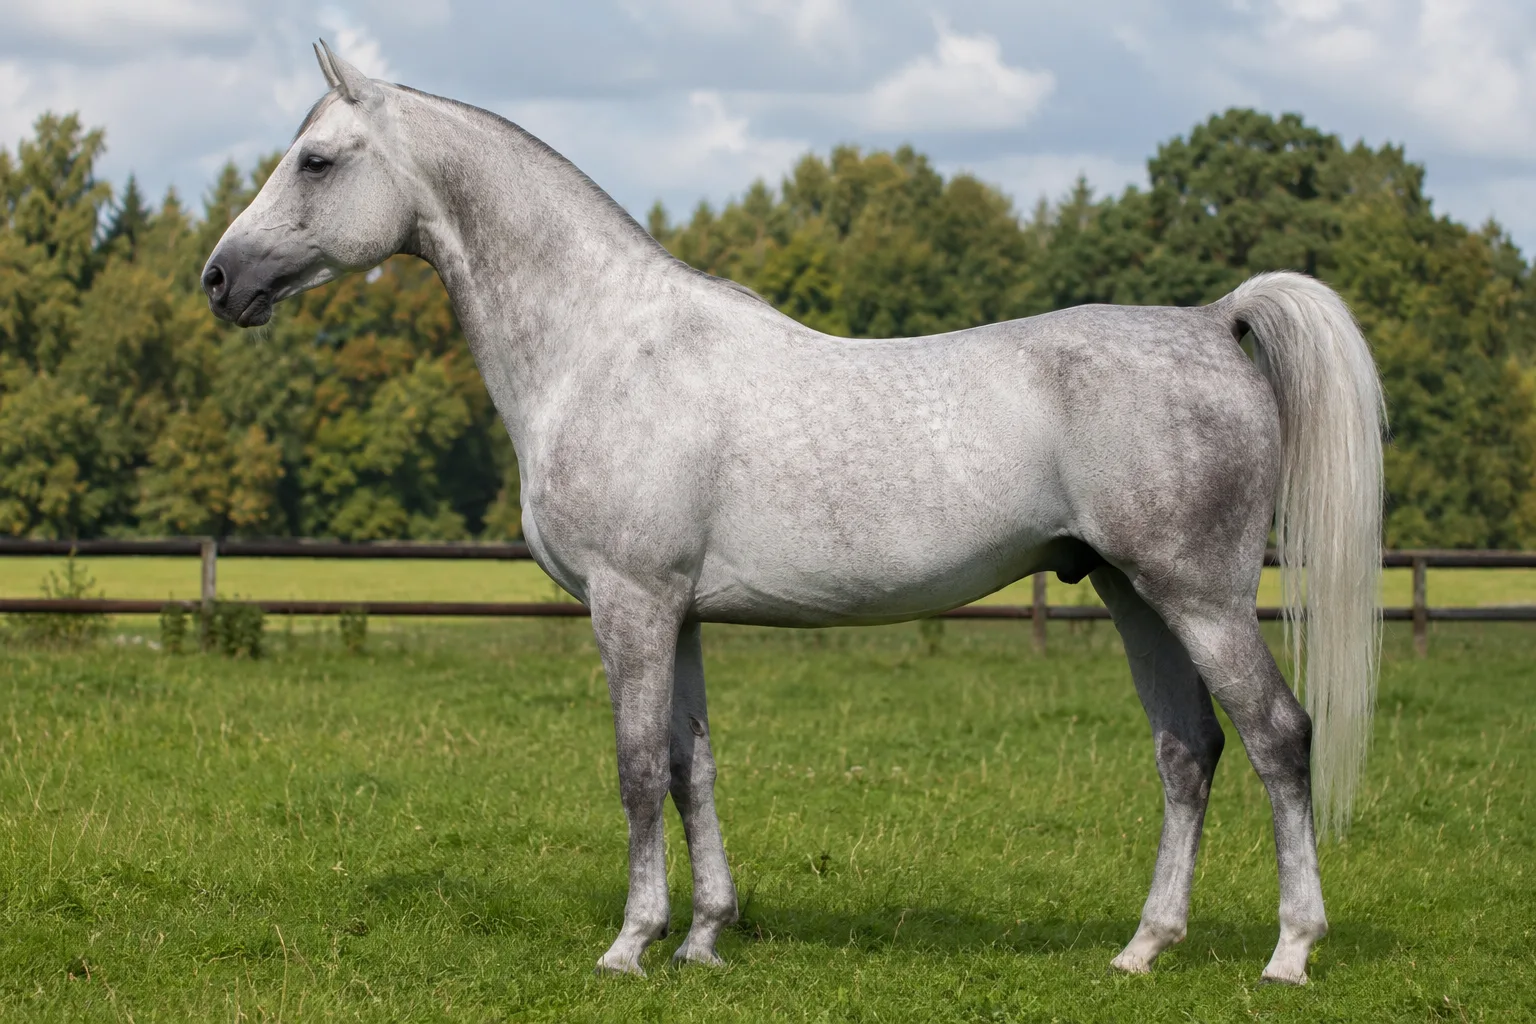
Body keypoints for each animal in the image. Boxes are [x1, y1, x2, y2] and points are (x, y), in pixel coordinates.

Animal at [202, 41, 1384, 984]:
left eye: (317, 160)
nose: (220, 279)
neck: (606, 346)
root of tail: (1213, 320)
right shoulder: (677, 614)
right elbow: (693, 768)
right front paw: (702, 937)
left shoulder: (631, 604)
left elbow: (638, 768)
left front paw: (630, 944)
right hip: (1136, 595)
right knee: (1188, 751)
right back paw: (1143, 947)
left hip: (1202, 597)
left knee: (1279, 737)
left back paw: (1290, 951)